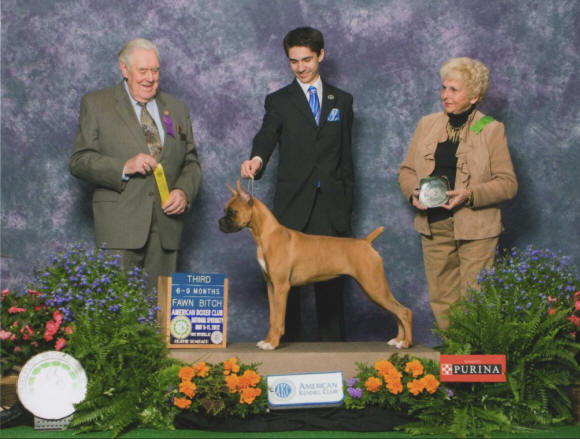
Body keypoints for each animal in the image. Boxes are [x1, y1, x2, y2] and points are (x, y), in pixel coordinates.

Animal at [218, 181, 412, 350]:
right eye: (225, 210)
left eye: (233, 212)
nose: (219, 223)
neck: (266, 234)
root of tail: (365, 242)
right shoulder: (271, 286)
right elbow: (273, 318)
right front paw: (267, 341)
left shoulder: (281, 287)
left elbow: (279, 318)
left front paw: (272, 344)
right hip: (374, 288)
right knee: (396, 313)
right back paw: (397, 340)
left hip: (374, 286)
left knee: (403, 311)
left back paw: (405, 343)